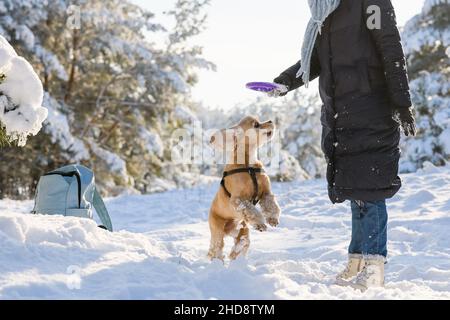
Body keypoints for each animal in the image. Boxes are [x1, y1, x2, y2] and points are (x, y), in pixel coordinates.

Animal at [208, 116, 282, 262]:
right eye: (256, 124)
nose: (271, 121)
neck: (249, 166)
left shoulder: (266, 193)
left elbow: (271, 205)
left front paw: (272, 219)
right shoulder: (238, 200)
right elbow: (251, 210)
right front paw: (260, 224)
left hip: (241, 229)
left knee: (241, 242)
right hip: (217, 230)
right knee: (216, 249)